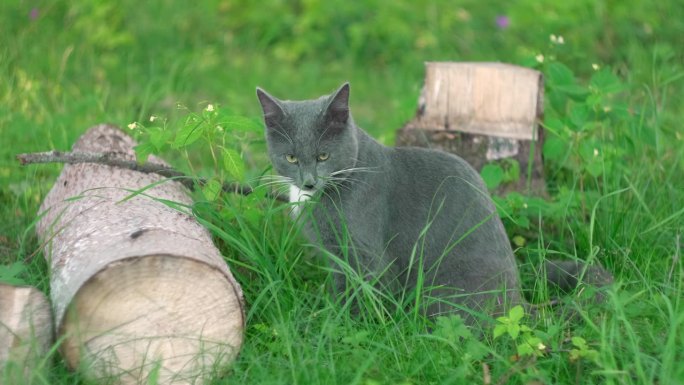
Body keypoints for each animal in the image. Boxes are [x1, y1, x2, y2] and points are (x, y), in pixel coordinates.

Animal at [255, 82, 608, 320]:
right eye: (290, 157)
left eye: (323, 156)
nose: (309, 181)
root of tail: (518, 305)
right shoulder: (336, 255)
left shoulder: (363, 253)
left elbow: (361, 293)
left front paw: (345, 326)